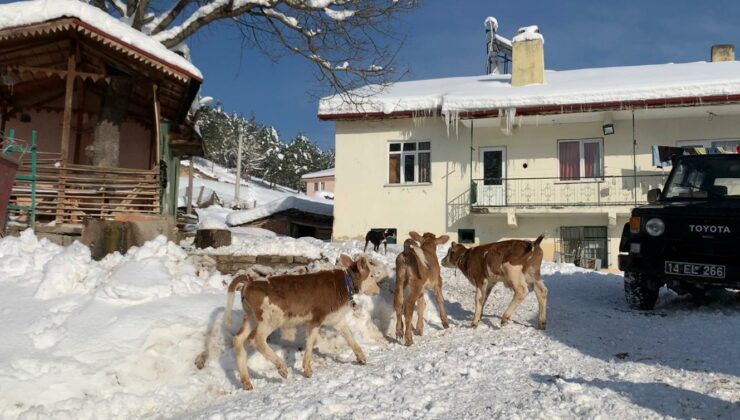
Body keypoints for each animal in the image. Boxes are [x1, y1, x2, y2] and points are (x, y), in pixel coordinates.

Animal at [223, 253, 378, 390]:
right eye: (371, 275)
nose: (378, 289)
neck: (345, 285)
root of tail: (250, 281)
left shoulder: (335, 318)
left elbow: (349, 335)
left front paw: (361, 358)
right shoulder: (316, 318)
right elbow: (310, 343)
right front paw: (307, 369)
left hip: (251, 318)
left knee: (238, 339)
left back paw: (246, 382)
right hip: (271, 318)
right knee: (256, 339)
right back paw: (281, 368)